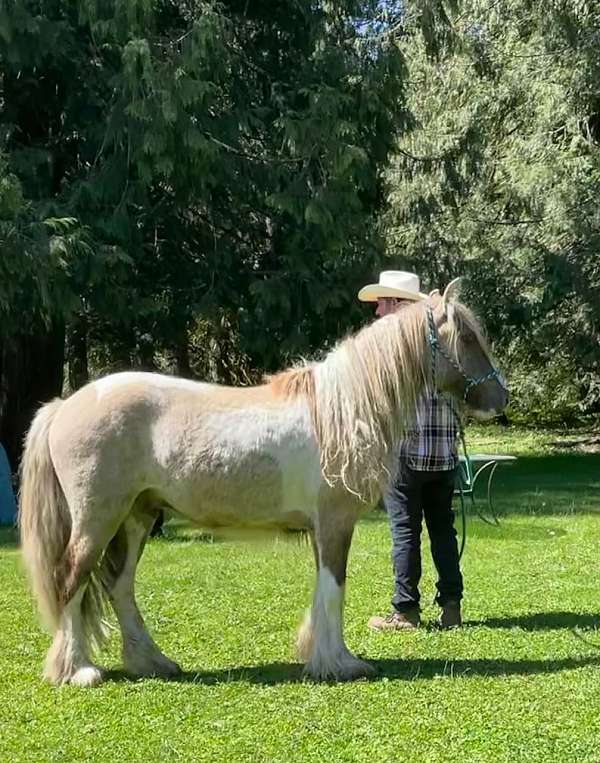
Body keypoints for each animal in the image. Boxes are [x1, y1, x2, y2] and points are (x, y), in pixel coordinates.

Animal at [18, 280, 506, 688]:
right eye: (465, 338)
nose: (502, 399)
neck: (342, 410)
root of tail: (66, 404)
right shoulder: (335, 523)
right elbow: (335, 588)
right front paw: (341, 664)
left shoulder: (323, 529)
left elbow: (324, 590)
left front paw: (323, 656)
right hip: (97, 519)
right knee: (71, 580)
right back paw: (78, 671)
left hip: (138, 516)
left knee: (119, 586)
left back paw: (152, 662)